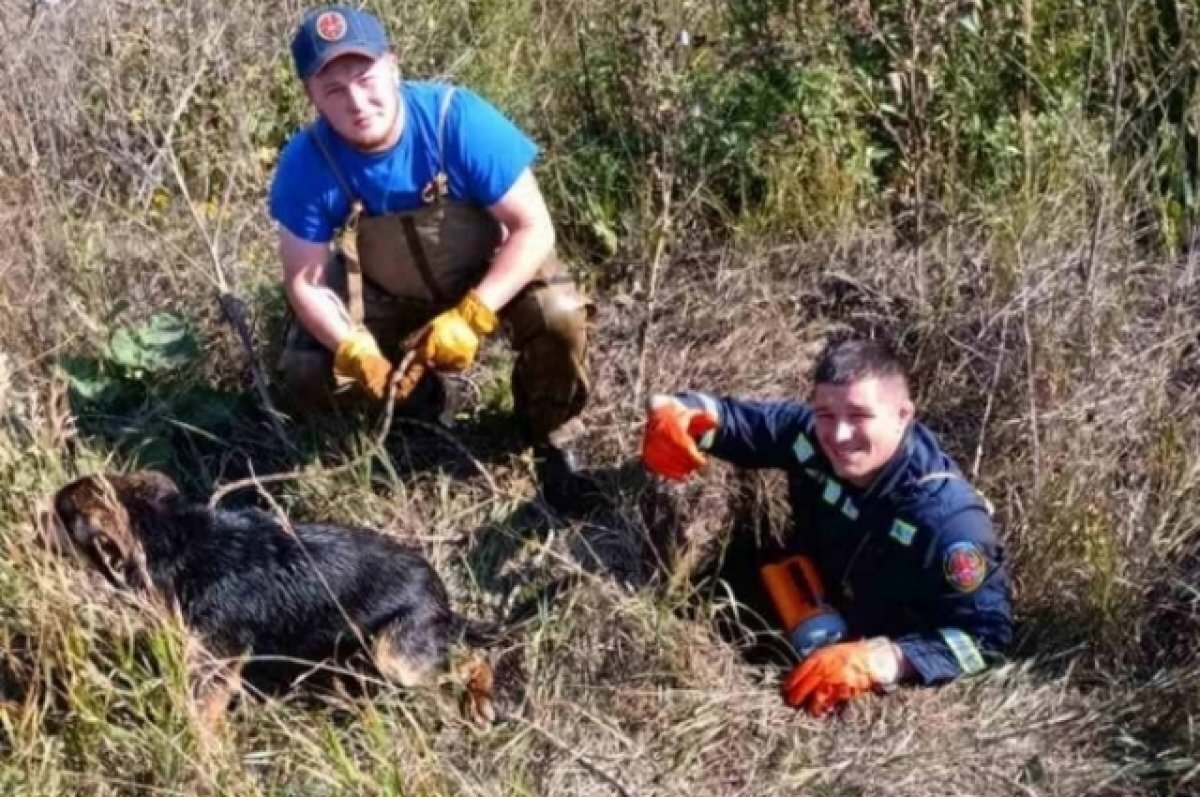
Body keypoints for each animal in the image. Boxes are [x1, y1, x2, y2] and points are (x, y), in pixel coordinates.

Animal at [44, 470, 506, 739]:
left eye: (59, 515)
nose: (36, 525)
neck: (176, 537)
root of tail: (444, 603)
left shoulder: (215, 661)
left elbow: (204, 713)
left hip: (397, 656)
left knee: (472, 657)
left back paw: (479, 700)